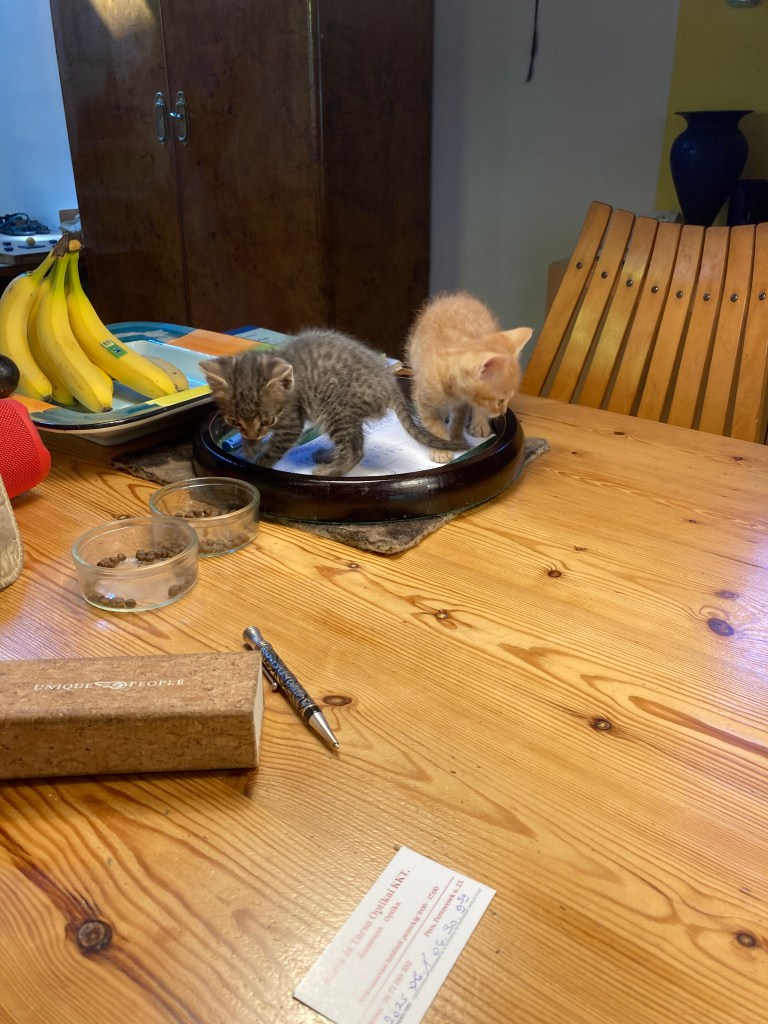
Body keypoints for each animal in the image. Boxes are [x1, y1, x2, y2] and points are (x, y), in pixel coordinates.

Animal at [200, 328, 470, 477]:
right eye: (235, 422)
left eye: (268, 421)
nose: (254, 434)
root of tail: (390, 383)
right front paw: (249, 447)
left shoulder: (291, 423)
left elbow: (275, 448)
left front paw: (257, 463)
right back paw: (329, 456)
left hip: (335, 407)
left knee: (355, 448)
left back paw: (330, 470)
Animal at [404, 291, 533, 462]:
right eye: (499, 401)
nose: (503, 412)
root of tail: (461, 296)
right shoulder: (424, 400)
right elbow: (433, 425)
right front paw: (441, 447)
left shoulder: (463, 404)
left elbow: (458, 422)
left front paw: (456, 439)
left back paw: (480, 423)